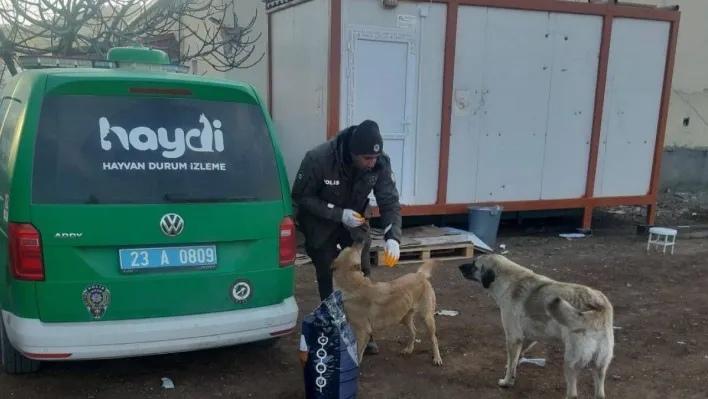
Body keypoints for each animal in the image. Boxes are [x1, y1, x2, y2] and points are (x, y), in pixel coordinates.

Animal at [460, 255, 612, 398]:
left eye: (474, 264)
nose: (459, 266)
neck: (507, 280)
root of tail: (599, 306)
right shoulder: (528, 337)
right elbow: (515, 359)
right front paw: (513, 370)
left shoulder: (513, 337)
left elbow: (511, 365)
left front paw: (506, 382)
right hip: (600, 366)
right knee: (600, 393)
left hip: (570, 364)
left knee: (572, 394)